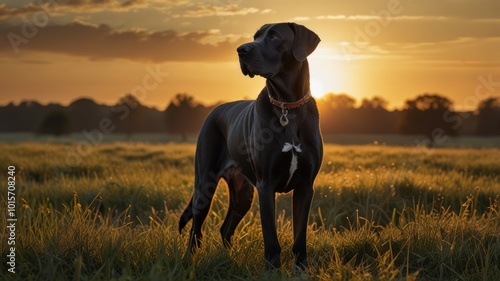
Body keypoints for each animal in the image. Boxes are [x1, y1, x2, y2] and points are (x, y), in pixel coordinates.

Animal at [181, 22, 324, 270]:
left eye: (274, 36)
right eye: (255, 36)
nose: (241, 50)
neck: (288, 106)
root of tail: (214, 110)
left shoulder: (305, 185)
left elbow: (300, 236)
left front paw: (300, 270)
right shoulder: (266, 184)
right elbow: (271, 237)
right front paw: (272, 270)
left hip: (243, 194)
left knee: (225, 228)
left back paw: (227, 260)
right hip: (205, 185)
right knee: (195, 230)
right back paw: (190, 261)